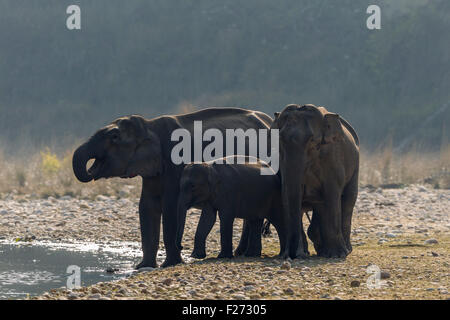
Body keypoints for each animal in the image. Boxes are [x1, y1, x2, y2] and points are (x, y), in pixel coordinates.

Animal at [72, 107, 272, 268]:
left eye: (114, 137)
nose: (182, 246)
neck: (150, 125)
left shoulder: (174, 163)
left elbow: (170, 206)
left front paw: (170, 264)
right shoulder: (153, 172)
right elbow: (147, 206)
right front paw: (143, 267)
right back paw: (241, 252)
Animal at [270, 104, 362, 258]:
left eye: (312, 141)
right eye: (280, 140)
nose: (291, 255)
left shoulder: (332, 159)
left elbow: (332, 193)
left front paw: (337, 255)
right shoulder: (282, 163)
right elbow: (287, 194)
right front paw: (298, 254)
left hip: (355, 166)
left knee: (348, 200)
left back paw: (345, 250)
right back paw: (319, 249)